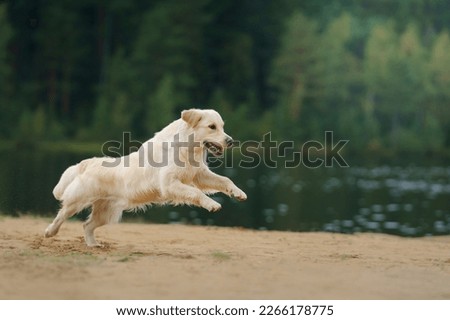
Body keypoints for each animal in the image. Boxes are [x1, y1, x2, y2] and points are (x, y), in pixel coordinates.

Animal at [44, 109, 248, 246]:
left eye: (222, 127)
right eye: (212, 127)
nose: (231, 141)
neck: (187, 149)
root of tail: (88, 162)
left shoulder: (198, 174)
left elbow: (225, 180)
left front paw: (238, 193)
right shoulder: (169, 183)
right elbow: (196, 193)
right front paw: (212, 204)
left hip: (107, 213)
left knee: (87, 225)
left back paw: (94, 245)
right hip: (78, 200)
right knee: (62, 214)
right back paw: (50, 232)